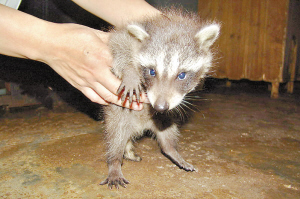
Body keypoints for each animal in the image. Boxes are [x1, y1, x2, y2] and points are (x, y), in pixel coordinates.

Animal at [99, 8, 219, 188]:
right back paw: (114, 161)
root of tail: (140, 126)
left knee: (167, 130)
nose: (160, 107)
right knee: (116, 137)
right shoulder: (124, 39)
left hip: (162, 119)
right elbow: (119, 48)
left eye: (182, 75)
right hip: (119, 116)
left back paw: (171, 150)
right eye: (152, 71)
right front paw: (130, 72)